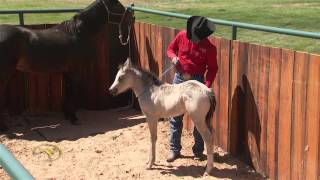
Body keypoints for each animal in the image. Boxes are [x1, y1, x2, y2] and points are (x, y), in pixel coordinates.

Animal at [0, 0, 133, 131]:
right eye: (117, 5)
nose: (132, 18)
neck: (77, 33)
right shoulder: (75, 70)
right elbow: (72, 92)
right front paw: (74, 118)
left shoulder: (67, 71)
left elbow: (67, 91)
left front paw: (68, 115)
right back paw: (3, 127)